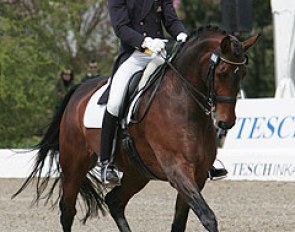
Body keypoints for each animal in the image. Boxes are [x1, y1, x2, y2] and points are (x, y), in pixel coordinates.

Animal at [13, 25, 260, 232]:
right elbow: (208, 217)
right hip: (74, 164)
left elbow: (180, 222)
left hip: (137, 173)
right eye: (222, 73)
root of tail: (80, 88)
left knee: (114, 201)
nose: (226, 123)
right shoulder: (177, 170)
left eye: (244, 74)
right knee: (67, 210)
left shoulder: (197, 176)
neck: (183, 102)